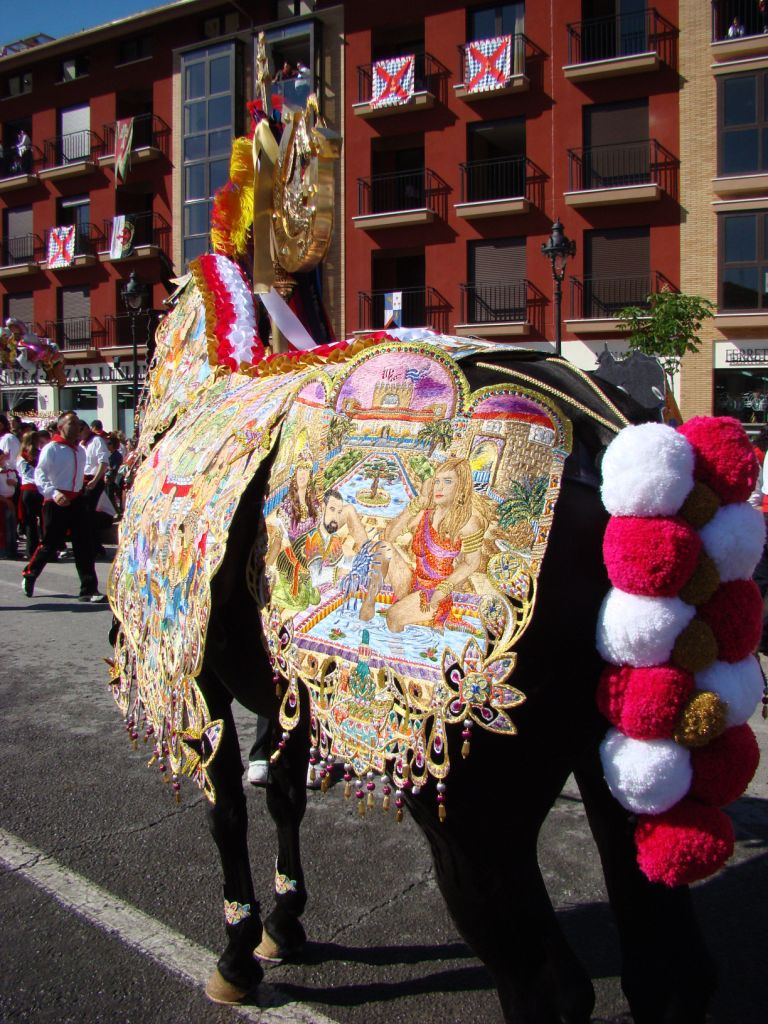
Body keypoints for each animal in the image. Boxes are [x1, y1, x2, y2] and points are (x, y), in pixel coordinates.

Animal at [173, 348, 716, 1019]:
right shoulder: (290, 690)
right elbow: (283, 794)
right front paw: (284, 922)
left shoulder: (200, 675)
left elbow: (225, 810)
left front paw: (238, 953)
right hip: (623, 754)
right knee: (667, 971)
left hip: (481, 813)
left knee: (549, 986)